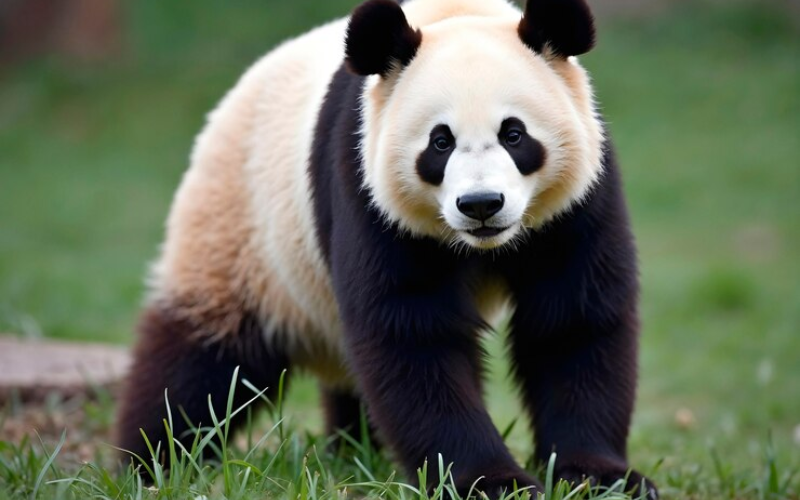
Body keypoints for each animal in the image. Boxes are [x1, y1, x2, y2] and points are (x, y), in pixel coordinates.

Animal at [116, 0, 657, 497]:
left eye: (514, 134)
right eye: (440, 142)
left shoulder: (577, 202)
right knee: (202, 360)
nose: (481, 204)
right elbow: (411, 335)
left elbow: (573, 321)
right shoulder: (367, 187)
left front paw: (601, 476)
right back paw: (152, 461)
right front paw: (492, 483)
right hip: (243, 231)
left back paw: (353, 449)